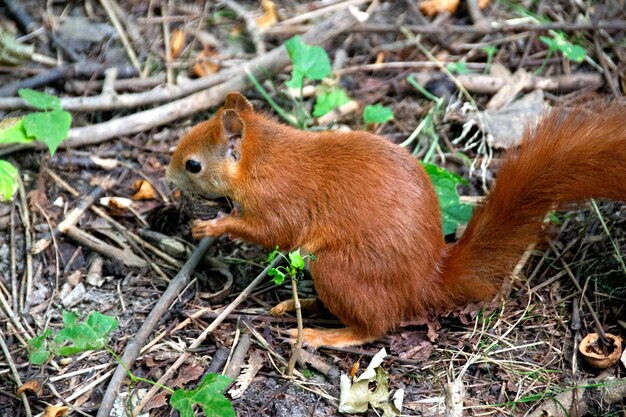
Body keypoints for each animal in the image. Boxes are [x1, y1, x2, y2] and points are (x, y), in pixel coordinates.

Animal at [166, 92, 624, 348]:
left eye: (192, 165)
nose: (167, 178)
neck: (264, 157)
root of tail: (426, 279)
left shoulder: (281, 202)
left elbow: (272, 232)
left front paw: (213, 226)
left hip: (339, 269)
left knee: (374, 326)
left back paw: (322, 334)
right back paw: (303, 305)